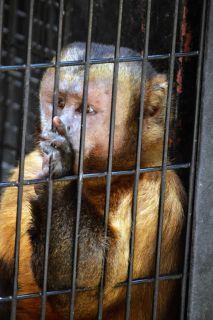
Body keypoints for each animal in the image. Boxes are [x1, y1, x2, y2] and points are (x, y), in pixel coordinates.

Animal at [0, 43, 185, 320]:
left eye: (85, 110)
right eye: (59, 103)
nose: (61, 124)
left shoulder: (156, 192)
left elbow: (85, 293)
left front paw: (59, 177)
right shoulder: (30, 166)